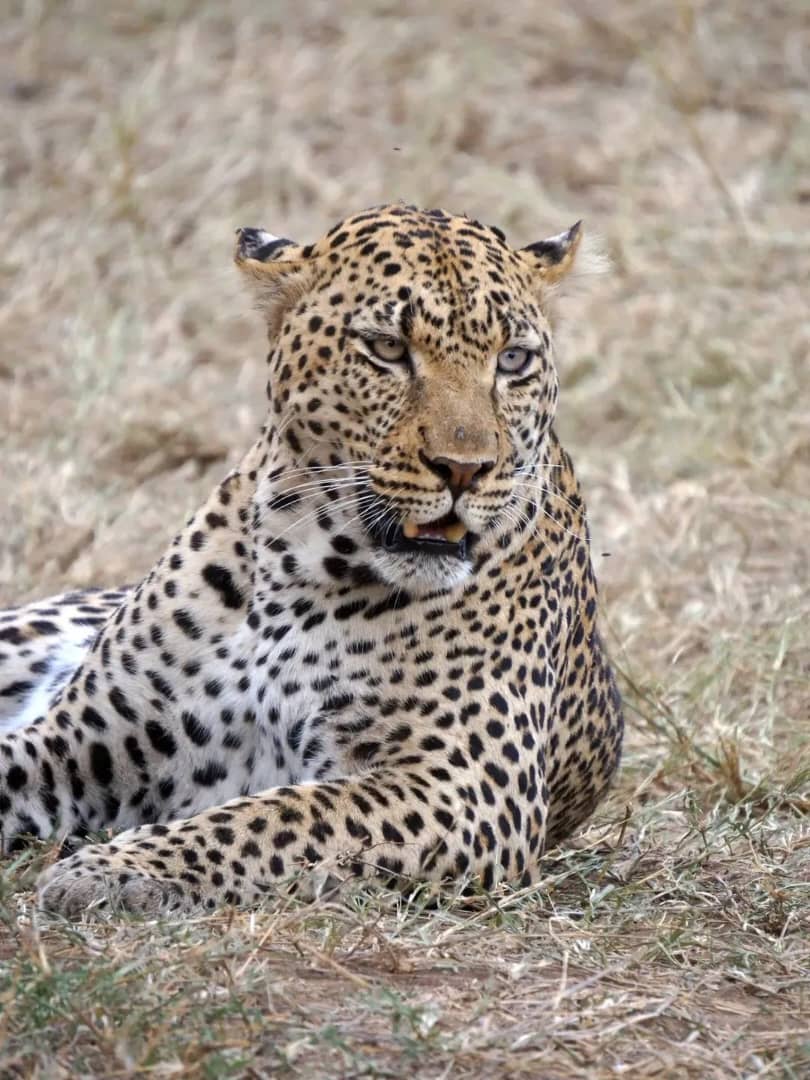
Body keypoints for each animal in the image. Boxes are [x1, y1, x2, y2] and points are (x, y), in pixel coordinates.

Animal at [0, 203, 623, 917]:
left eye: (513, 360)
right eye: (387, 349)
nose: (465, 469)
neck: (298, 565)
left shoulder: (463, 782)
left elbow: (274, 817)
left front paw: (110, 869)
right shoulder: (81, 742)